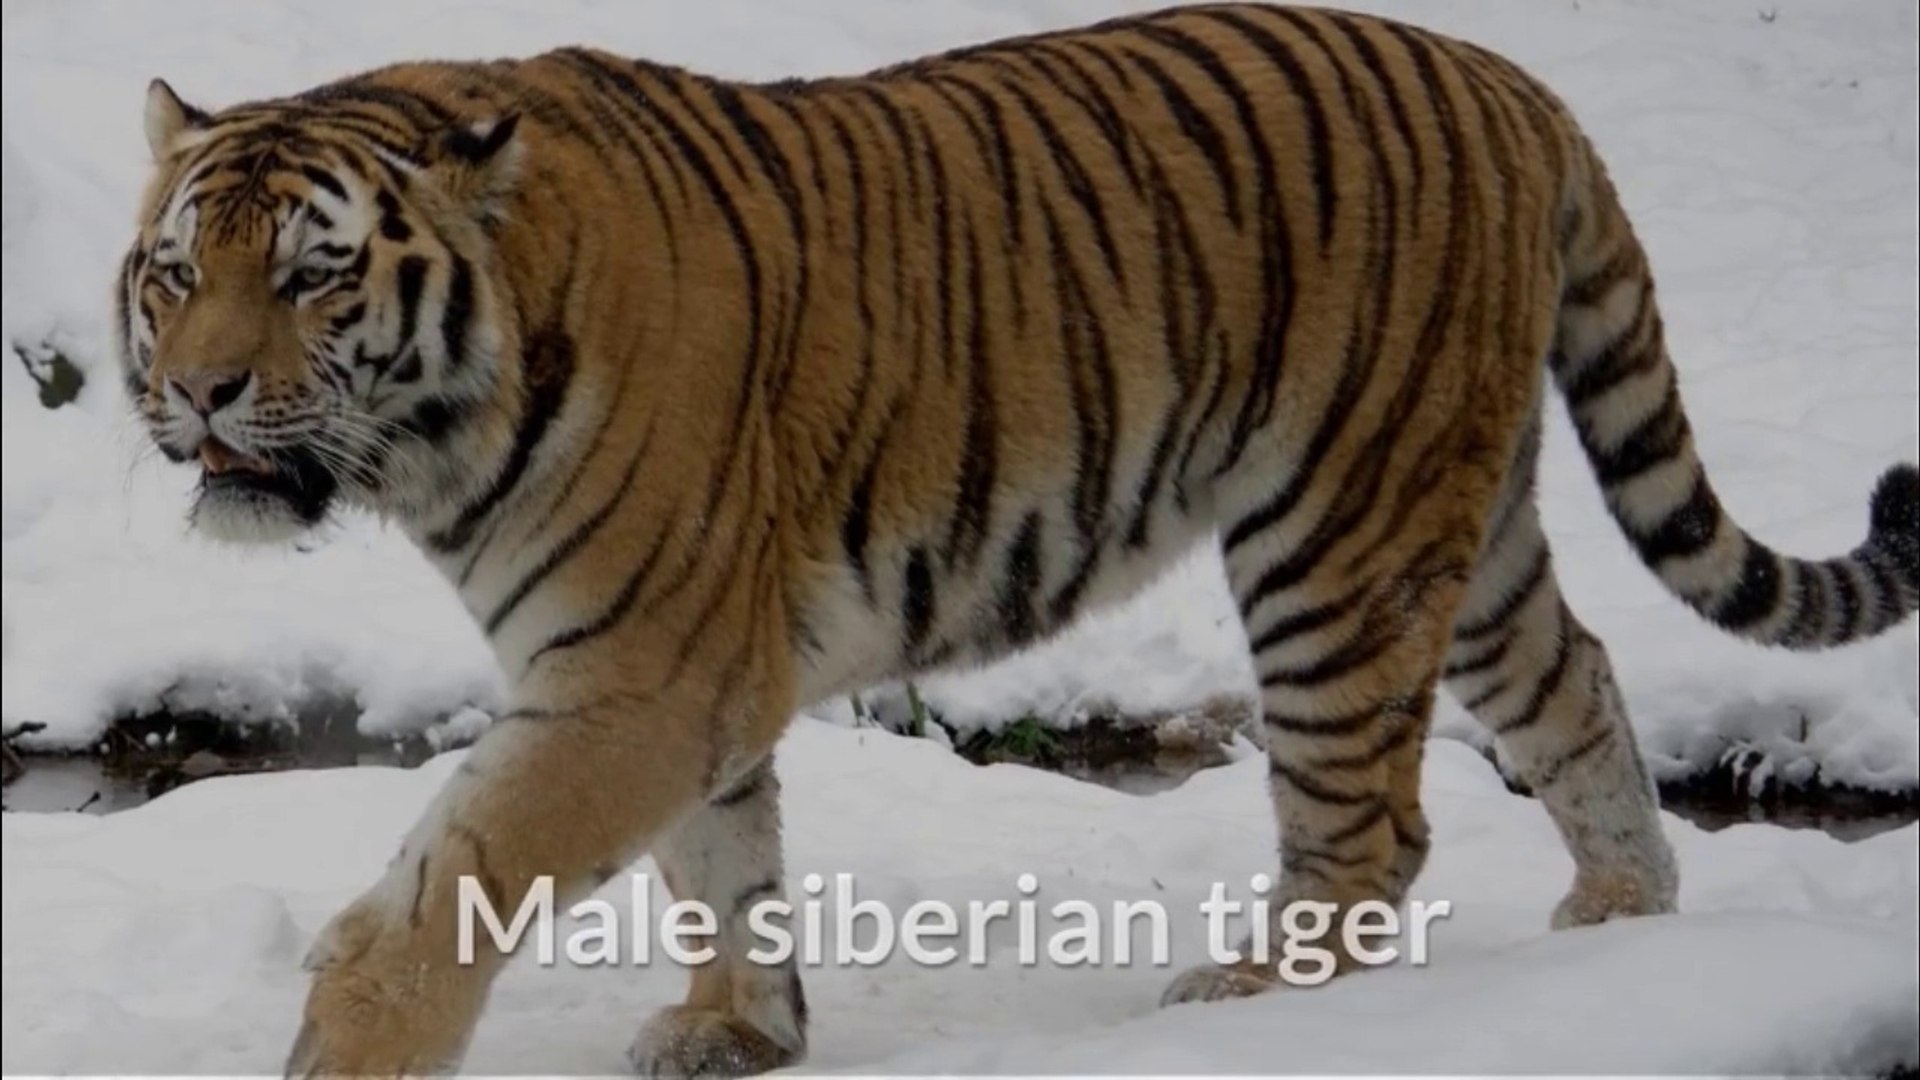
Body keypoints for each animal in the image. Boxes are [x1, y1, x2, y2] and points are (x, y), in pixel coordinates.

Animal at [116, 2, 1918, 1075]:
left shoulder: (637, 672)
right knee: (1580, 683)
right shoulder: (681, 675)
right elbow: (722, 861)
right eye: (176, 273)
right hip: (1462, 531)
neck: (444, 431)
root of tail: (1513, 79)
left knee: (1372, 826)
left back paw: (1252, 1012)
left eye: (313, 276)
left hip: (1336, 534)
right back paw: (1620, 930)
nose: (198, 394)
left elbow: (447, 888)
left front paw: (350, 1049)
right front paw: (737, 1027)